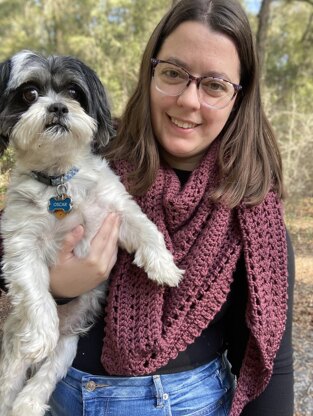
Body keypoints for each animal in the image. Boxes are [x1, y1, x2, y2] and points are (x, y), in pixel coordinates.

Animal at [0, 51, 183, 416]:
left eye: (73, 91)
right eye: (29, 94)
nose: (58, 107)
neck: (59, 182)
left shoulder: (117, 210)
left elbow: (147, 229)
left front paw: (165, 267)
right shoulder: (20, 243)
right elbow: (35, 290)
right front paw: (40, 334)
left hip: (68, 346)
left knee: (44, 377)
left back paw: (28, 404)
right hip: (14, 344)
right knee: (10, 379)